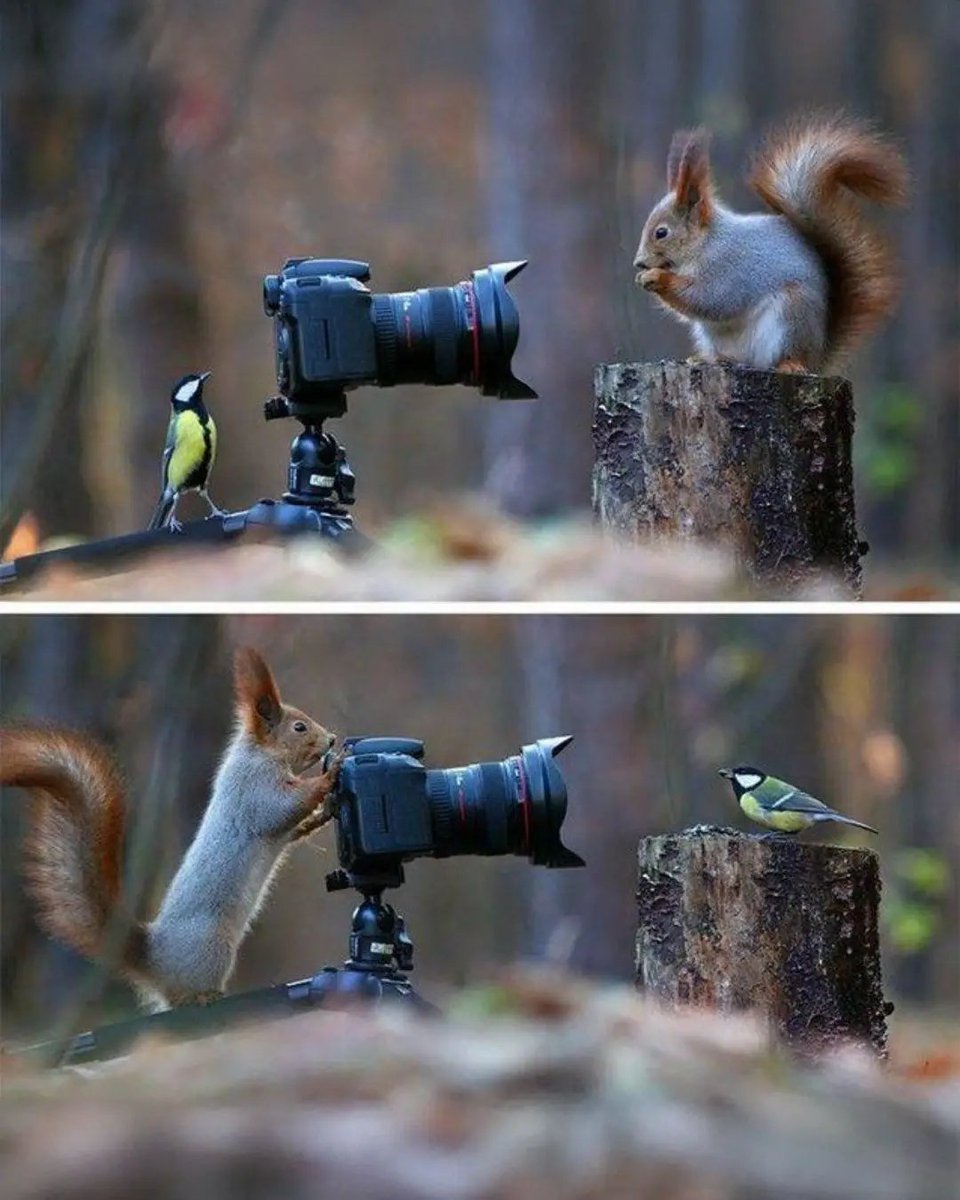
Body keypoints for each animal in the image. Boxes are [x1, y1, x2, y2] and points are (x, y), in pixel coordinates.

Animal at [0, 646, 341, 1010]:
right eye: (299, 727)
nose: (332, 739)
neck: (260, 752)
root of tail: (156, 961)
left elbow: (292, 828)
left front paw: (324, 812)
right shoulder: (252, 788)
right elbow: (280, 809)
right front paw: (329, 775)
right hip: (213, 946)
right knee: (183, 997)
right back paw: (205, 995)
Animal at [633, 113, 908, 373]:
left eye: (661, 233)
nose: (639, 263)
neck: (706, 244)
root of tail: (817, 356)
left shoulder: (729, 268)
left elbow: (711, 299)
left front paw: (657, 277)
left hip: (792, 315)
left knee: (785, 355)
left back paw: (790, 364)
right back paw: (711, 358)